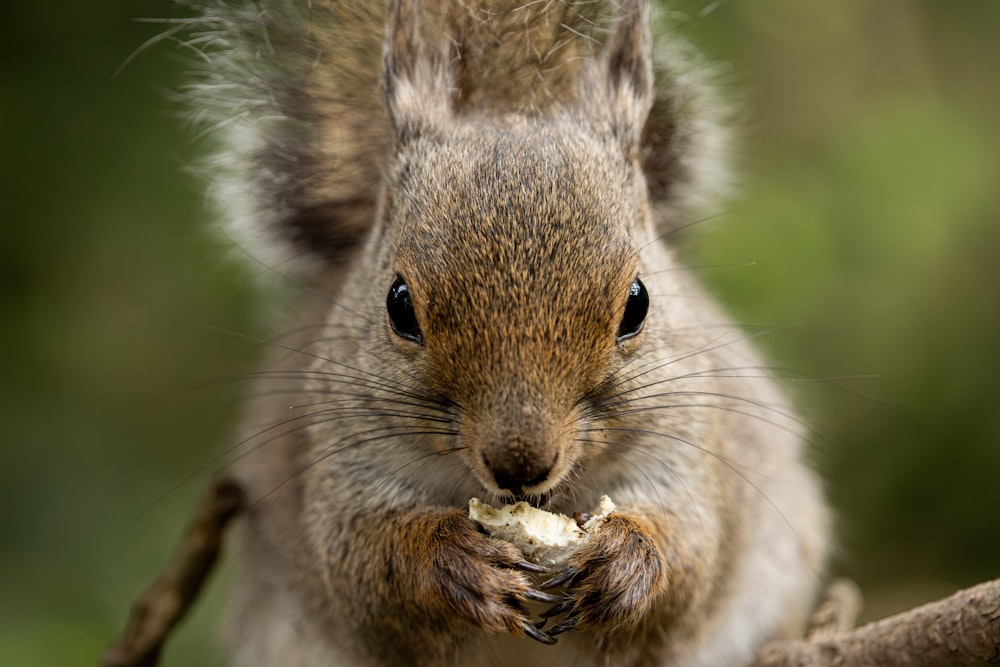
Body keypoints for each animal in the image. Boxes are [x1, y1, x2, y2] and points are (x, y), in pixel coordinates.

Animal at [184, 1, 832, 667]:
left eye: (638, 303)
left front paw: (623, 565)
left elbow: (691, 552)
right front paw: (459, 566)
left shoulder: (687, 449)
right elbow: (365, 570)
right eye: (398, 305)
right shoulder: (342, 466)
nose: (520, 464)